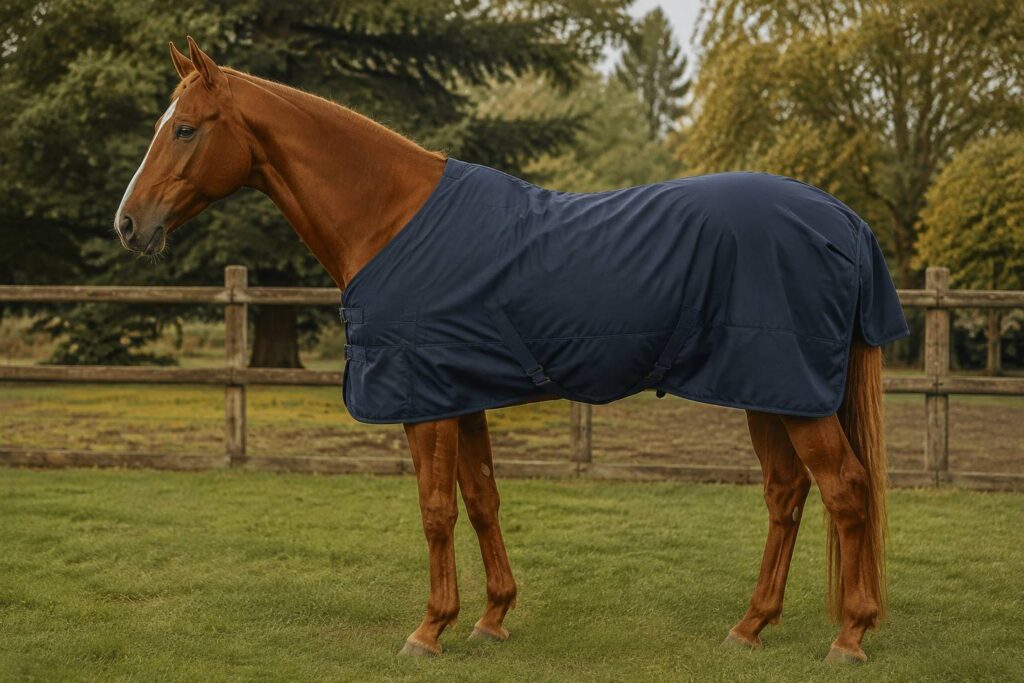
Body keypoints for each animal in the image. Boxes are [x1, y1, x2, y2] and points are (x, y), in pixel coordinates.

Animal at [114, 37, 903, 664]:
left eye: (184, 129)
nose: (128, 223)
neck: (390, 218)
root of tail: (843, 217)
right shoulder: (462, 393)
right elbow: (483, 499)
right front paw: (491, 617)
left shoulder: (424, 401)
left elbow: (436, 508)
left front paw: (429, 628)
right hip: (766, 389)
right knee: (787, 493)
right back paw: (751, 625)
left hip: (791, 393)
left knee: (846, 489)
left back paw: (850, 635)